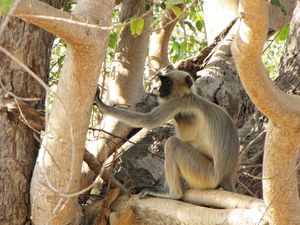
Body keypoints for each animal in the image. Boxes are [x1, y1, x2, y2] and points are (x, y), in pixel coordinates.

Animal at [95, 70, 240, 199]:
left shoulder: (179, 103)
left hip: (205, 174)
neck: (188, 95)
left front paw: (102, 105)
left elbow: (148, 120)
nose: (160, 88)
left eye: (168, 83)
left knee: (172, 144)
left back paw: (173, 194)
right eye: (163, 82)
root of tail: (226, 175)